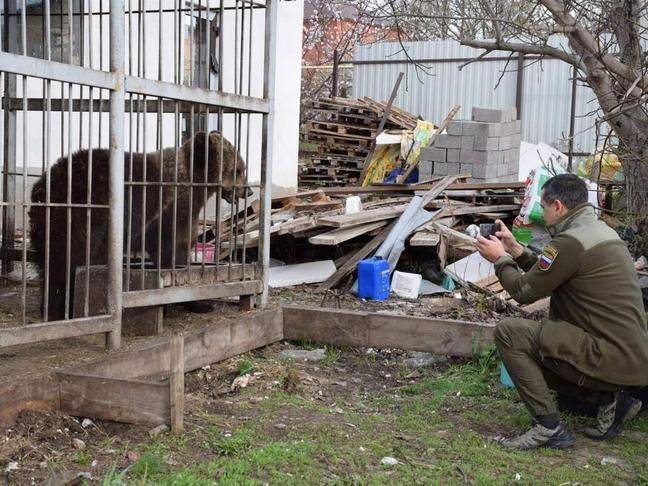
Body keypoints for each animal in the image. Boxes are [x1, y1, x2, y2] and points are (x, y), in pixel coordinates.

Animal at [29, 129, 249, 320]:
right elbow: (172, 254)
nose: (248, 191)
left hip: (49, 225)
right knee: (73, 259)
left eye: (242, 167)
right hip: (83, 217)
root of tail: (43, 187)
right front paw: (191, 302)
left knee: (52, 263)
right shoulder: (168, 215)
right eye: (236, 169)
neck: (195, 188)